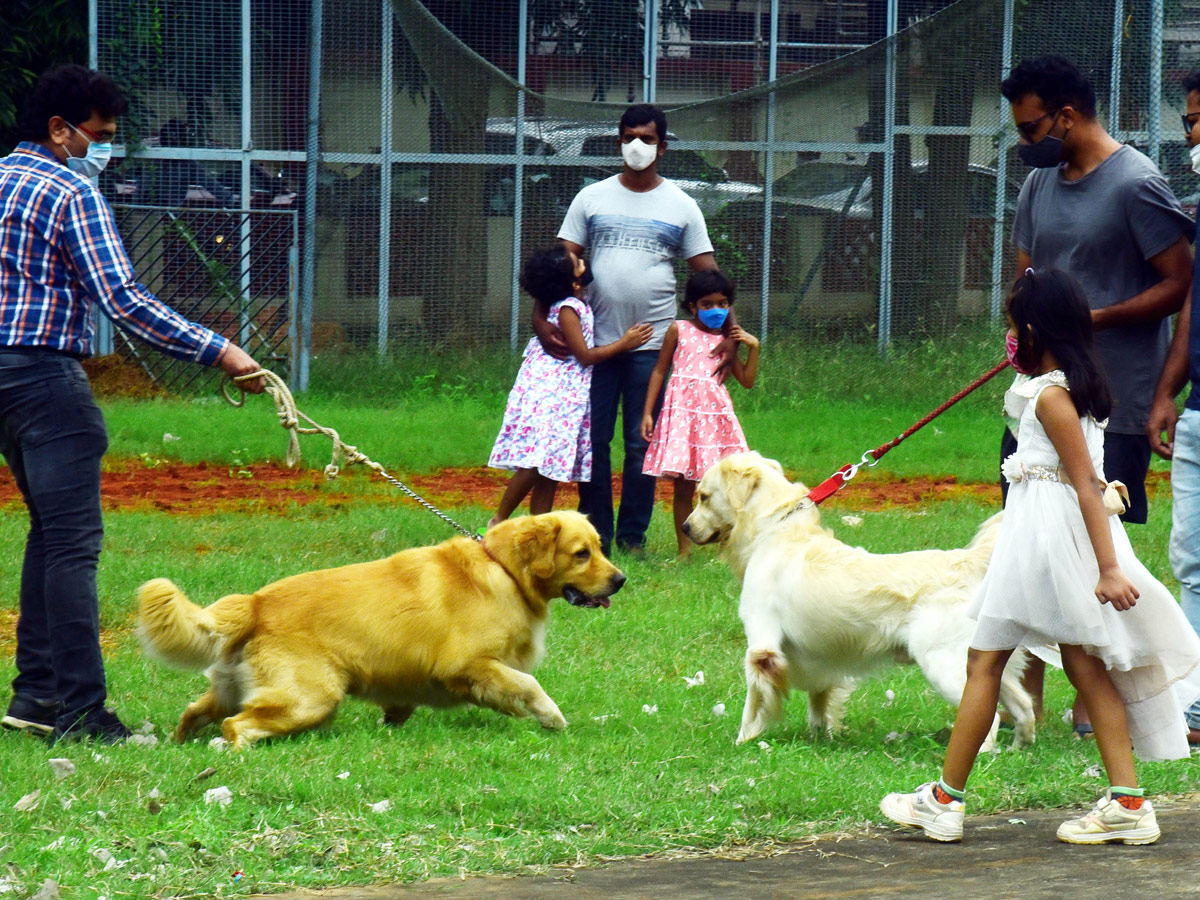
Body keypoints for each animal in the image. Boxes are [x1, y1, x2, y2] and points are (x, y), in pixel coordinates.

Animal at [138, 511, 628, 748]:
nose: (621, 580)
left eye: (601, 547)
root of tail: (255, 603)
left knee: (195, 712)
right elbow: (527, 684)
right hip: (311, 699)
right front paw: (552, 718)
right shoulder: (471, 664)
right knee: (236, 726)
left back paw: (180, 744)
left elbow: (403, 705)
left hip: (227, 687)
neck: (504, 568)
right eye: (581, 553)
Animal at [681, 451, 1036, 753]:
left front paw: (743, 741)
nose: (685, 527)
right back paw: (1018, 750)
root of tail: (967, 561)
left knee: (989, 720)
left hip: (944, 664)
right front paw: (821, 738)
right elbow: (819, 702)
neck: (775, 529)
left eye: (704, 496)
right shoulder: (818, 660)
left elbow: (753, 705)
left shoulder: (761, 646)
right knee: (1024, 706)